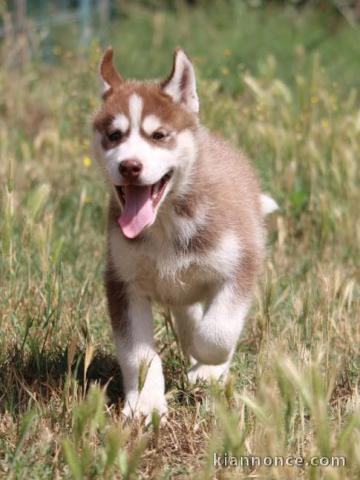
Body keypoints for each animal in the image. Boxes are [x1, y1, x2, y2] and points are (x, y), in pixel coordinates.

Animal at [92, 47, 276, 420]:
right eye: (115, 135)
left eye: (158, 135)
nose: (129, 166)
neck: (165, 223)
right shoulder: (123, 280)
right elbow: (138, 354)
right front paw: (145, 404)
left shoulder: (241, 263)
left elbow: (216, 333)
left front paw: (208, 368)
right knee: (187, 311)